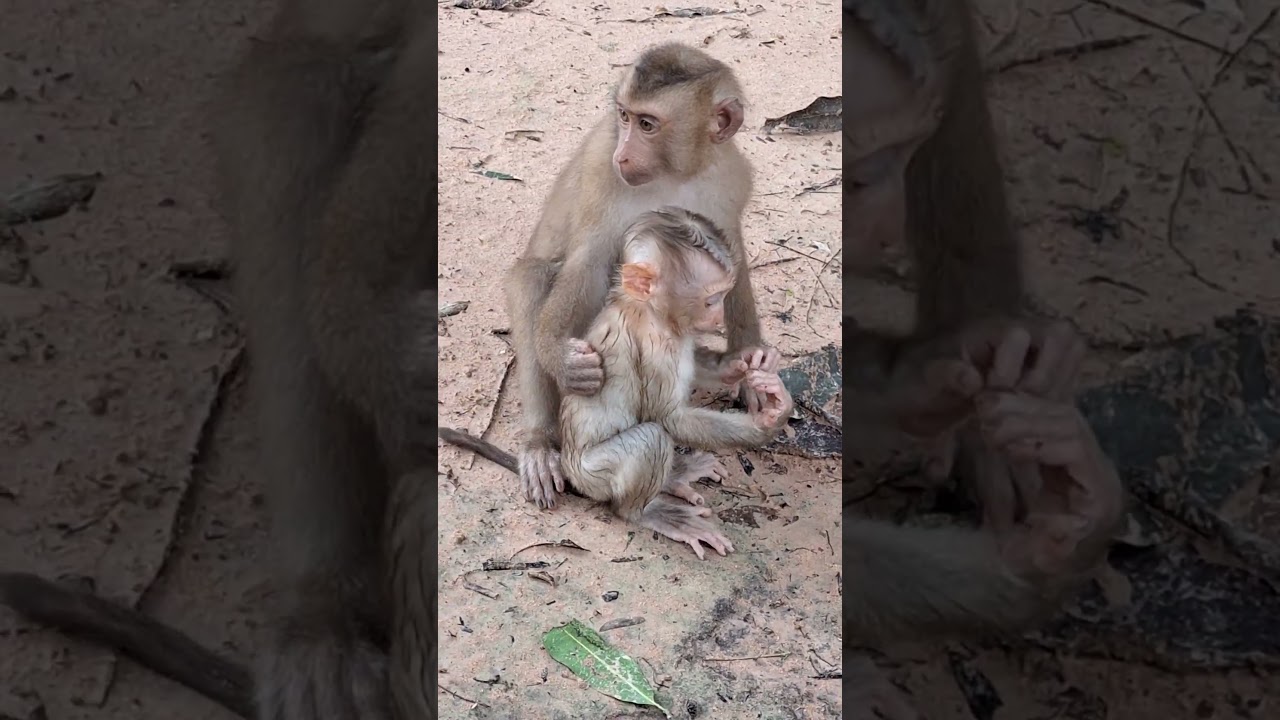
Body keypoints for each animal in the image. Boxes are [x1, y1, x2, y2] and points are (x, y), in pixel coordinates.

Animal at [504, 43, 780, 512]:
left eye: (648, 124)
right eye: (625, 117)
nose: (625, 154)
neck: (675, 173)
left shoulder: (730, 175)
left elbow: (735, 256)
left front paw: (748, 363)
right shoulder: (601, 165)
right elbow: (589, 262)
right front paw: (562, 358)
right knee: (535, 278)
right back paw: (541, 443)